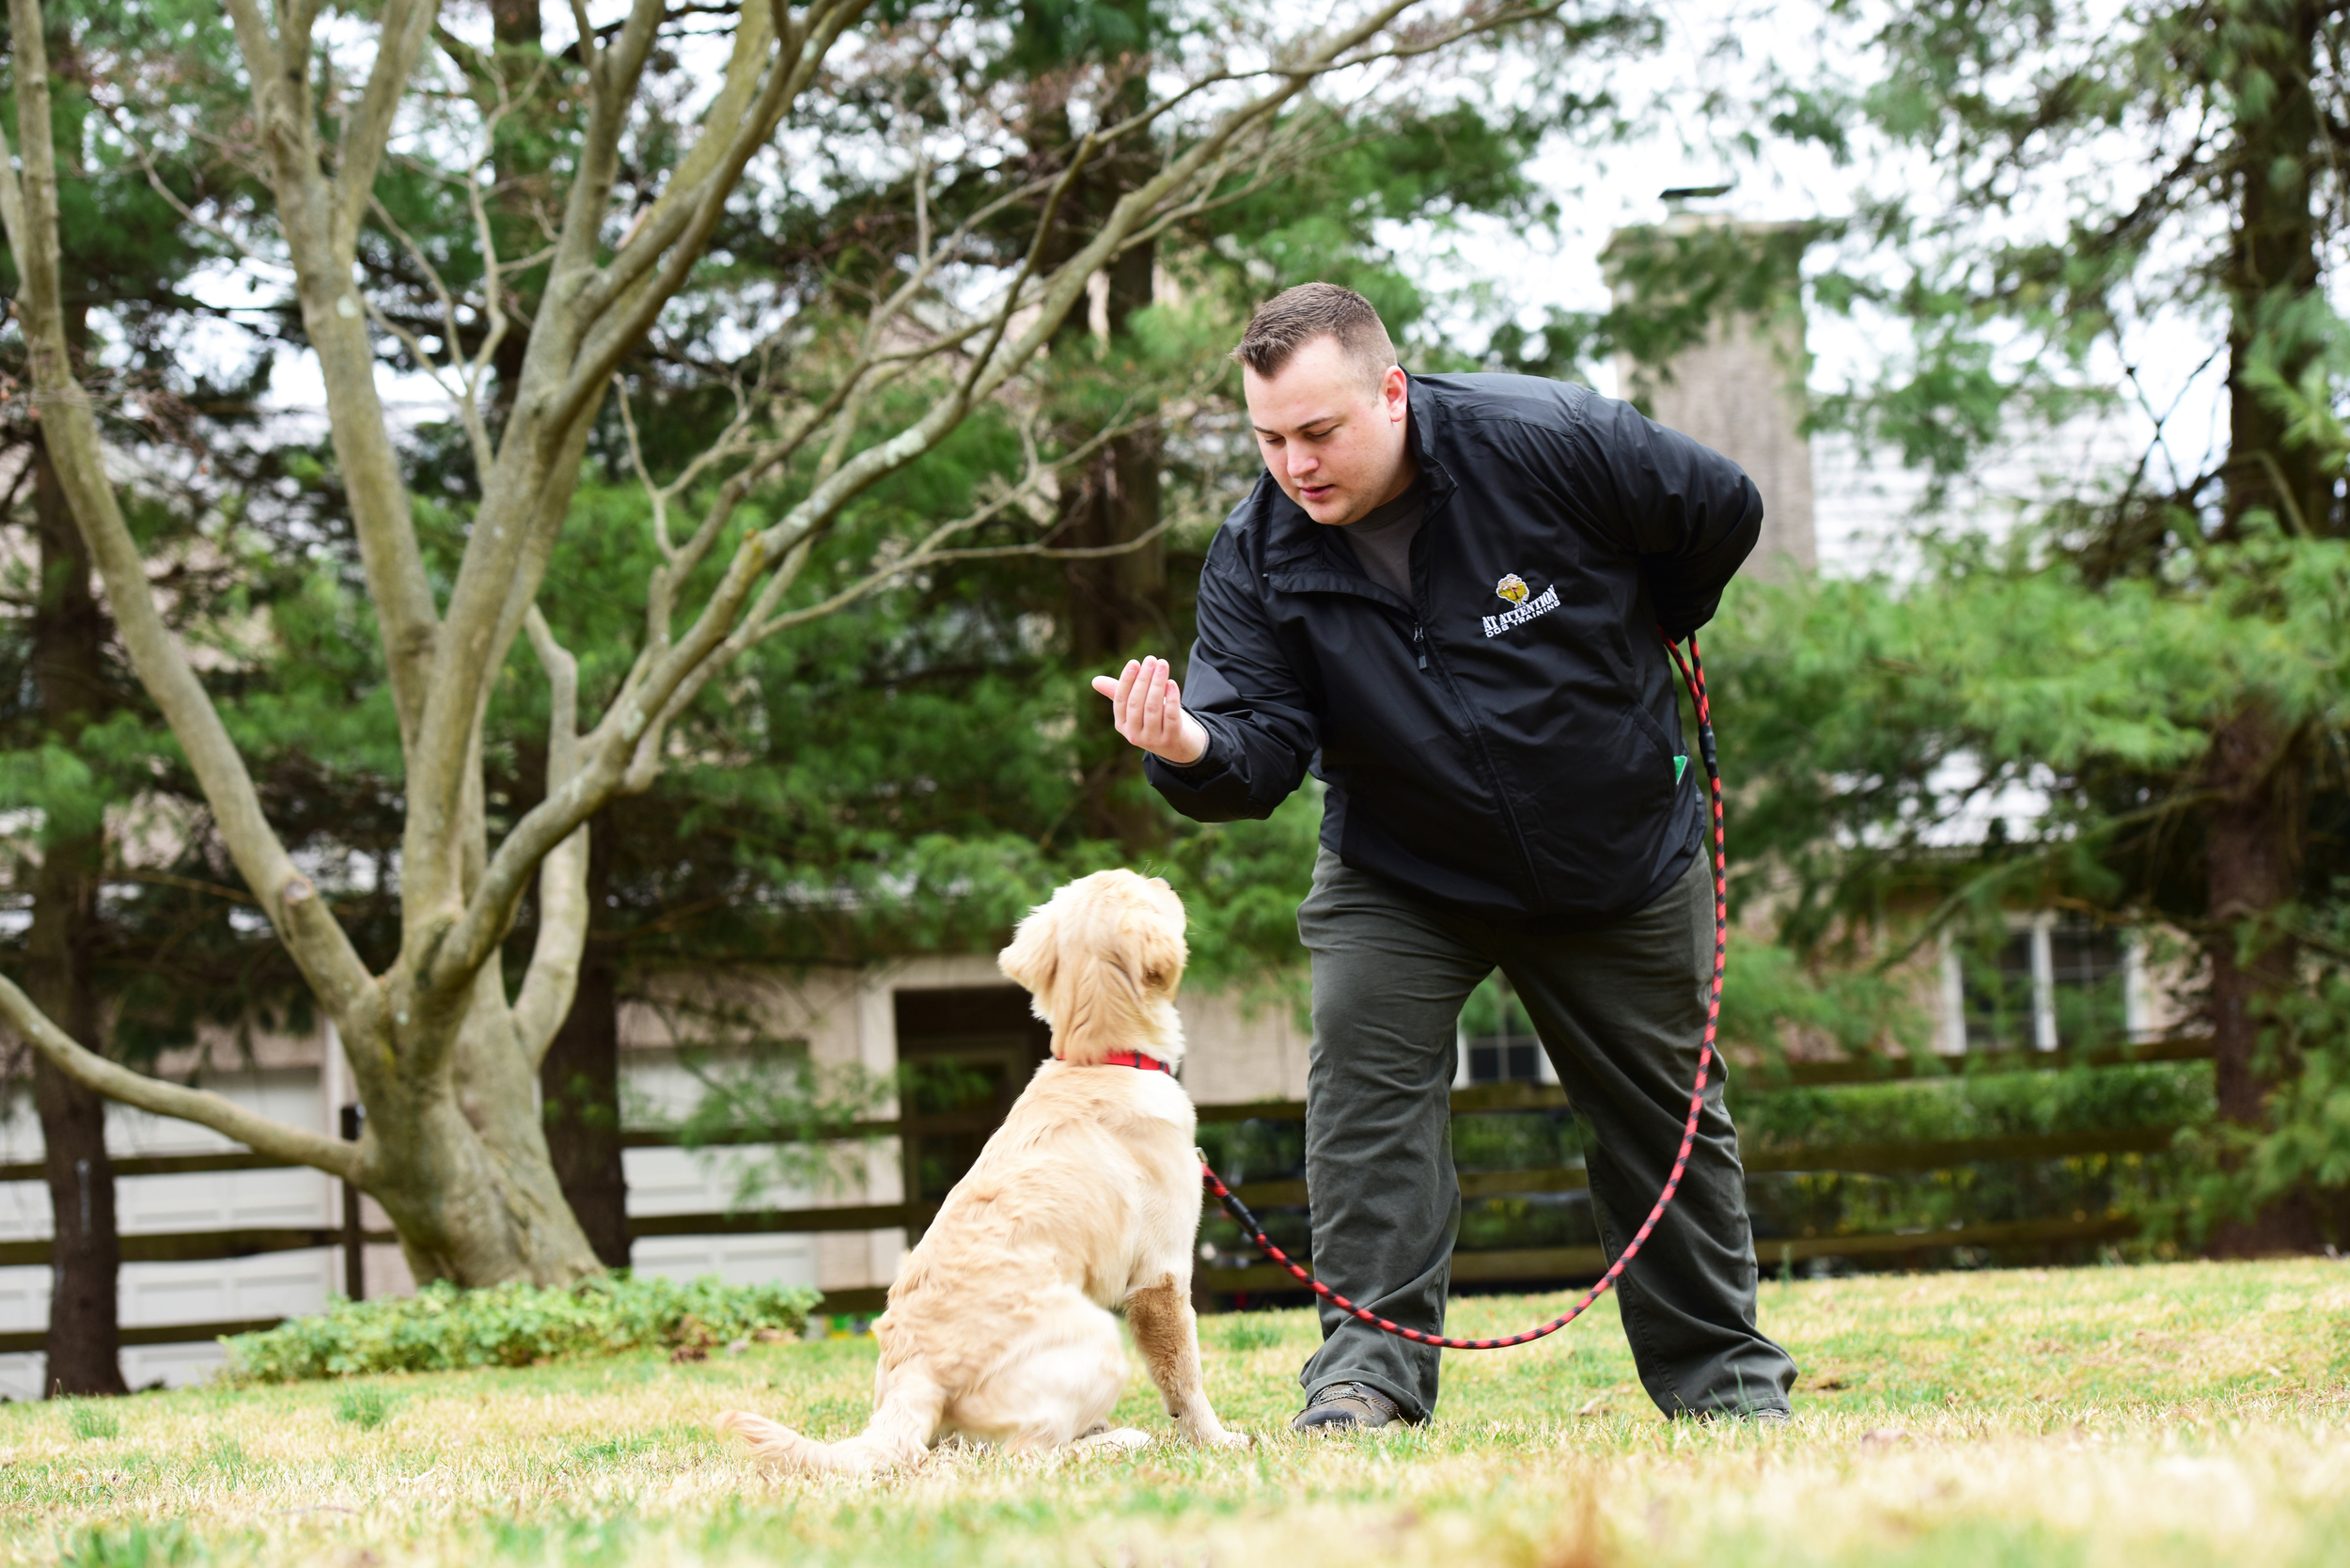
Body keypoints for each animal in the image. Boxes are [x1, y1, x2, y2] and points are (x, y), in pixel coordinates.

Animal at [714, 870, 1241, 1476]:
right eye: (1145, 888)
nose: (1163, 879)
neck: (1100, 1058)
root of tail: (911, 1377)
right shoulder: (1161, 1275)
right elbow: (1185, 1377)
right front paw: (1217, 1440)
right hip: (1099, 1339)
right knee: (1024, 1453)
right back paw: (1115, 1442)